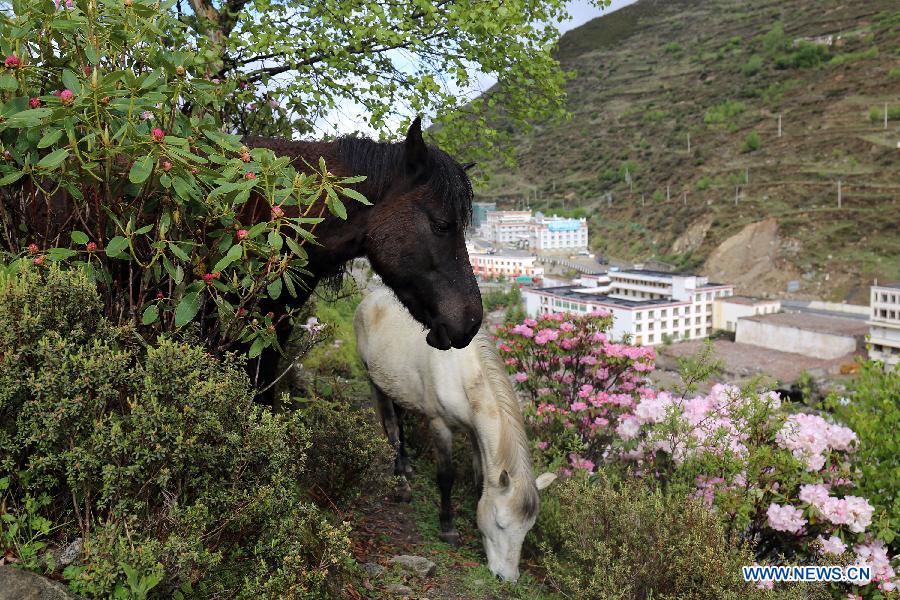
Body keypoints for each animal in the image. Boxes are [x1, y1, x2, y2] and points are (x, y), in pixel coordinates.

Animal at [354, 288, 556, 584]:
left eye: (527, 529)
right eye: (500, 524)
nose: (507, 578)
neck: (463, 373)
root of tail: (373, 296)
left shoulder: (475, 432)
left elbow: (480, 477)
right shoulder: (440, 426)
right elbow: (446, 477)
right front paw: (447, 528)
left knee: (400, 423)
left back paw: (407, 466)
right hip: (374, 381)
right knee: (391, 429)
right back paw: (401, 484)